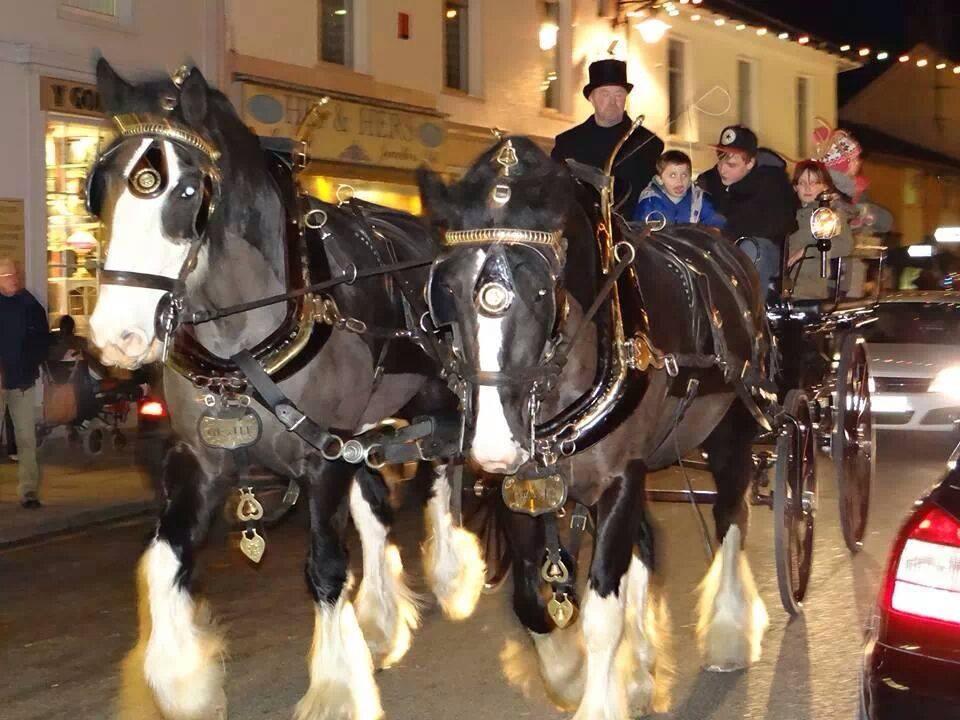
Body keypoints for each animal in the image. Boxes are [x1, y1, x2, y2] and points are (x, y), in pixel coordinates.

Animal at [86, 62, 484, 720]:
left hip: (436, 400)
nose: (117, 336)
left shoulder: (322, 458)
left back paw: (453, 575)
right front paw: (181, 682)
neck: (242, 343)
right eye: (99, 191)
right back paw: (380, 623)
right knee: (377, 507)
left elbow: (324, 566)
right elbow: (163, 559)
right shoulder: (205, 459)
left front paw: (337, 689)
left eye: (186, 193)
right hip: (363, 428)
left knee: (442, 473)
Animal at [420, 138, 772, 716]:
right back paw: (644, 668)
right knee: (646, 542)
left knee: (729, 518)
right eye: (444, 288)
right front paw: (567, 673)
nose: (494, 446)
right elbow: (529, 601)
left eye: (541, 291)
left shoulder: (618, 479)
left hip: (732, 431)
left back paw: (728, 635)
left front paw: (599, 689)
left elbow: (603, 611)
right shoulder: (525, 488)